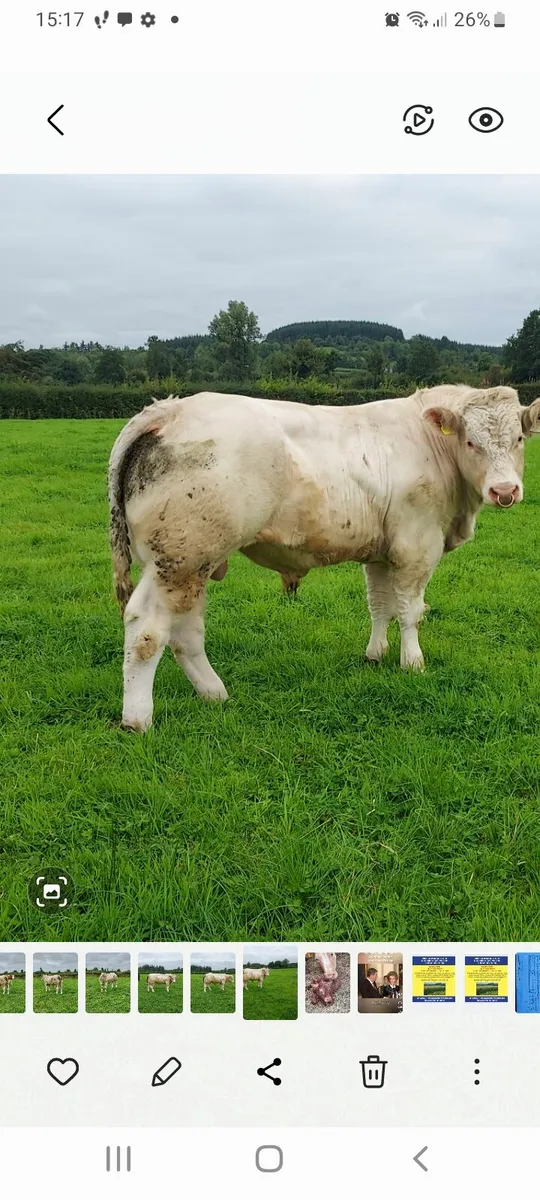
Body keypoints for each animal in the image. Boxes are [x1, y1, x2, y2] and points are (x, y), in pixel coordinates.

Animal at [108, 386, 540, 731]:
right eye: (471, 443)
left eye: (519, 438)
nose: (505, 491)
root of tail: (169, 408)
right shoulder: (416, 546)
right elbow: (410, 610)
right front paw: (412, 663)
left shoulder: (380, 552)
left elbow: (379, 605)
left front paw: (375, 655)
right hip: (179, 559)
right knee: (147, 629)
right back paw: (138, 718)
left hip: (191, 563)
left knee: (185, 631)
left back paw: (214, 693)